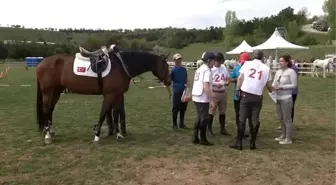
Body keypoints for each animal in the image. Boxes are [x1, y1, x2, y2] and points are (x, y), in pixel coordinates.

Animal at [37, 45, 171, 144]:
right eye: (166, 66)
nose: (169, 81)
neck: (120, 66)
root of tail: (42, 63)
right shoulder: (110, 94)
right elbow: (103, 113)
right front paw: (97, 136)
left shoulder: (117, 94)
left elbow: (116, 113)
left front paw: (118, 134)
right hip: (48, 92)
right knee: (46, 110)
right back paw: (47, 136)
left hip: (56, 91)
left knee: (50, 110)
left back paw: (50, 131)